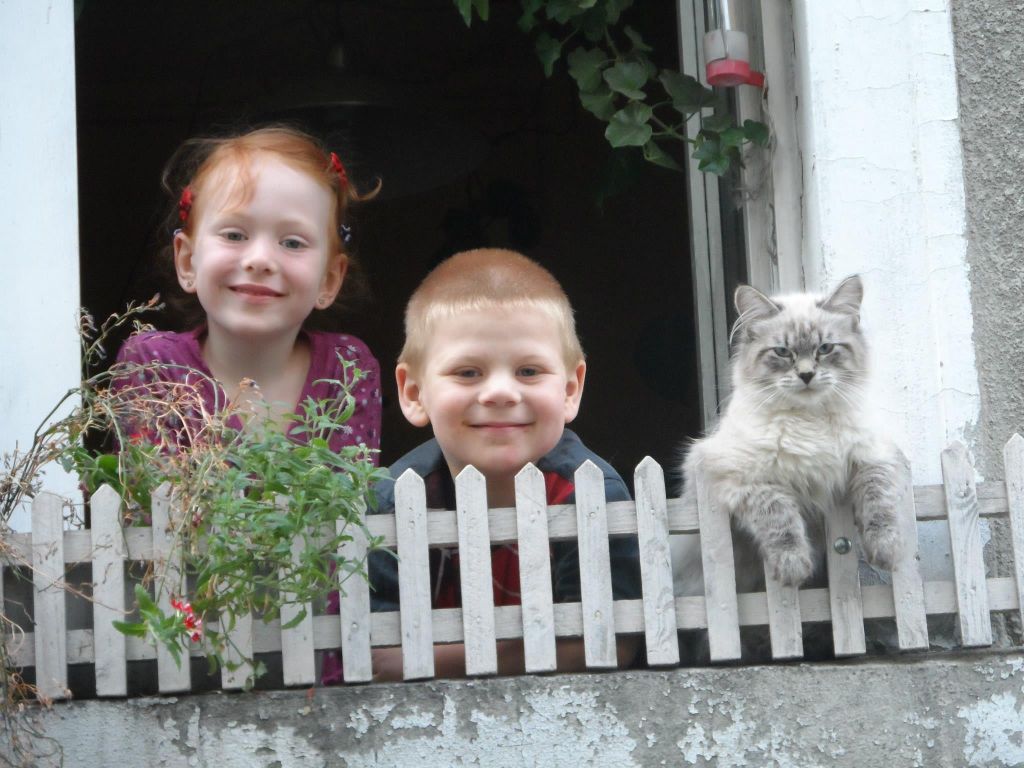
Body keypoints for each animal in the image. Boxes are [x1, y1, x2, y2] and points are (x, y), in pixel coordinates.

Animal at [673, 275, 902, 596]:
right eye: (782, 352)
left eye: (825, 348)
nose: (806, 375)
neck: (809, 419)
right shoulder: (742, 479)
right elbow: (779, 516)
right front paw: (793, 566)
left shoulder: (873, 456)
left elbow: (879, 501)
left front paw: (886, 550)